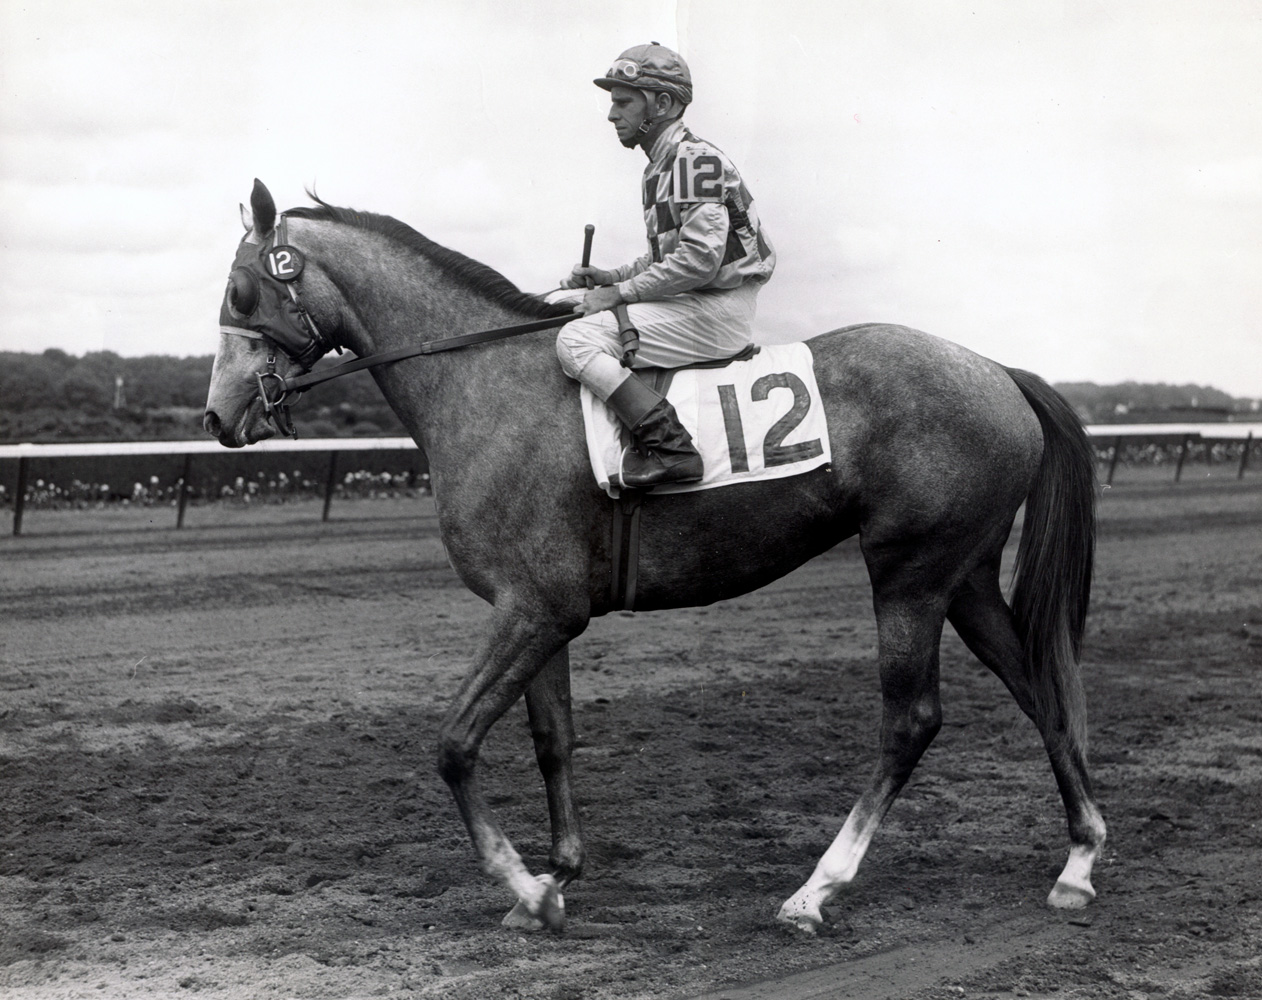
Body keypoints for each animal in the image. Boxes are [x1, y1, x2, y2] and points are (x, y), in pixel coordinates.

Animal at [204, 181, 1105, 939]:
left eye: (241, 290)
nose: (218, 416)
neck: (484, 383)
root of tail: (999, 373)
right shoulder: (540, 611)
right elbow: (552, 738)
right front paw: (558, 874)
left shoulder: (536, 607)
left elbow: (454, 744)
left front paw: (526, 887)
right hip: (965, 575)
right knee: (1039, 685)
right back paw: (1078, 860)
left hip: (909, 573)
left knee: (910, 721)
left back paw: (815, 890)